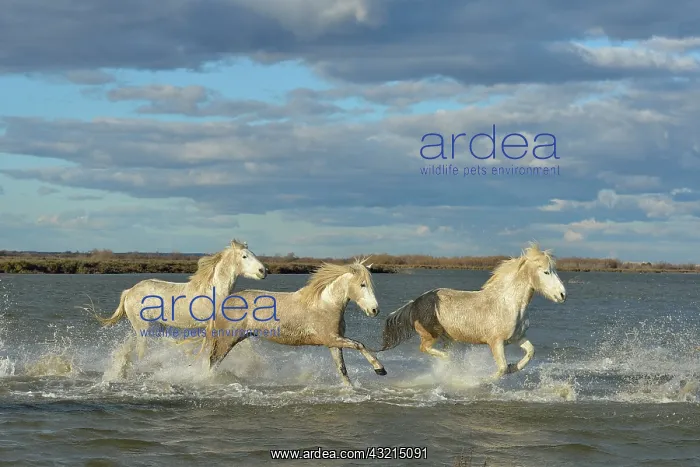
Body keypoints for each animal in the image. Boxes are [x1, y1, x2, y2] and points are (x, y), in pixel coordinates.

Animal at [95, 239, 267, 365]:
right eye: (244, 256)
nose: (263, 271)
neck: (214, 292)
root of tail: (129, 291)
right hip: (143, 328)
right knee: (142, 351)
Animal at [197, 258, 387, 386]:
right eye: (362, 284)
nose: (375, 310)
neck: (326, 305)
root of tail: (224, 302)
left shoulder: (334, 343)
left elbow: (343, 370)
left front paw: (351, 389)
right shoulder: (332, 339)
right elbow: (360, 345)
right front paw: (380, 369)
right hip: (227, 340)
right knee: (213, 361)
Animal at [380, 243, 567, 379]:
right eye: (546, 272)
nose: (562, 295)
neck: (507, 303)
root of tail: (415, 302)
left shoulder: (517, 338)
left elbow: (530, 353)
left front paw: (514, 367)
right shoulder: (495, 342)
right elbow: (501, 368)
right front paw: (482, 381)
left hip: (449, 339)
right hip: (430, 336)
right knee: (424, 348)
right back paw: (450, 363)